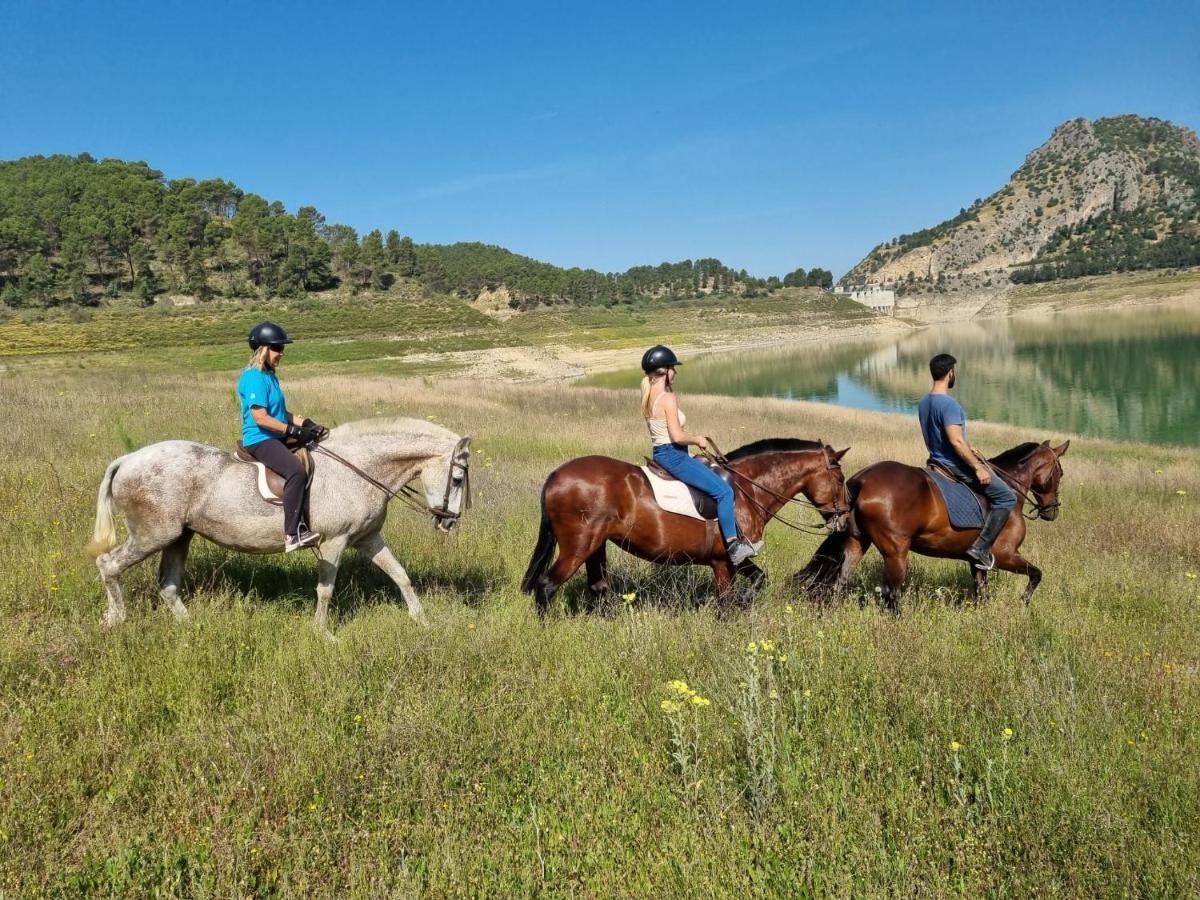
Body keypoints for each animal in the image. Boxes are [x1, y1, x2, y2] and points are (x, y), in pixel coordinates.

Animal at [87, 417, 470, 633]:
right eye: (458, 479)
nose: (449, 523)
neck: (358, 467)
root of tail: (127, 460)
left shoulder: (368, 538)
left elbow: (400, 575)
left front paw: (423, 621)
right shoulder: (334, 542)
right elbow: (325, 590)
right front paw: (323, 633)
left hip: (179, 537)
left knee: (167, 585)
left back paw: (190, 626)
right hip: (153, 534)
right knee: (108, 564)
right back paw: (115, 618)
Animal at [525, 441, 854, 619]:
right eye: (840, 479)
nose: (846, 517)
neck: (746, 489)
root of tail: (557, 475)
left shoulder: (735, 559)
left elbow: (760, 579)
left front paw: (744, 604)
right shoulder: (725, 561)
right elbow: (726, 602)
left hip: (596, 546)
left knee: (598, 587)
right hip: (578, 545)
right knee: (546, 585)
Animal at [796, 439, 1070, 609]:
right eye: (1060, 473)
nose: (1052, 511)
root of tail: (862, 478)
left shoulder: (976, 561)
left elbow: (982, 592)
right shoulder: (1004, 555)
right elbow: (1036, 574)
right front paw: (1024, 602)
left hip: (857, 542)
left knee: (840, 582)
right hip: (895, 552)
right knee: (891, 593)